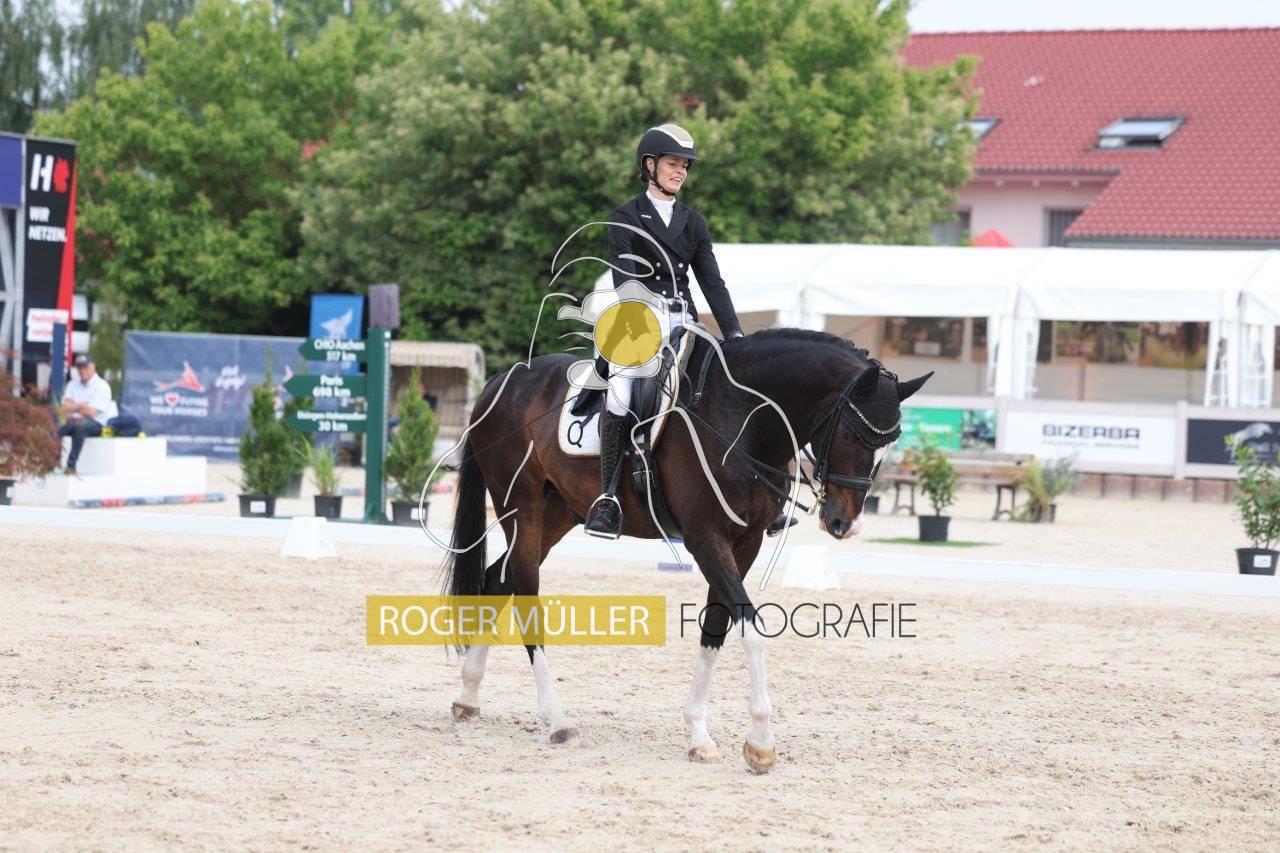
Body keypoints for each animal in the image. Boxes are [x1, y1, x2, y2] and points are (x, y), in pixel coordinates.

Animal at [439, 326, 931, 774]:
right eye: (849, 434)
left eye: (890, 442)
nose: (845, 524)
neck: (743, 419)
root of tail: (501, 383)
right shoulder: (705, 537)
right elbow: (750, 627)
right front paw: (761, 743)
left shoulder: (745, 542)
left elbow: (715, 628)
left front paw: (700, 735)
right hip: (521, 505)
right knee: (523, 586)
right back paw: (557, 721)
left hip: (558, 511)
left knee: (497, 579)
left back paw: (467, 696)